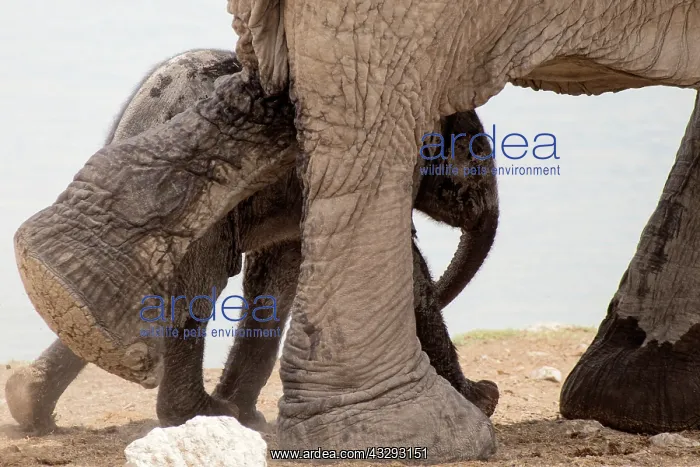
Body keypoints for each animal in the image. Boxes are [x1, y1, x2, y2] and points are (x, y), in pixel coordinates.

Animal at [8, 49, 499, 434]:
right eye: (475, 153)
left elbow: (275, 276)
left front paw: (248, 417)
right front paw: (481, 401)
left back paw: (28, 404)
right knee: (193, 293)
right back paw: (199, 415)